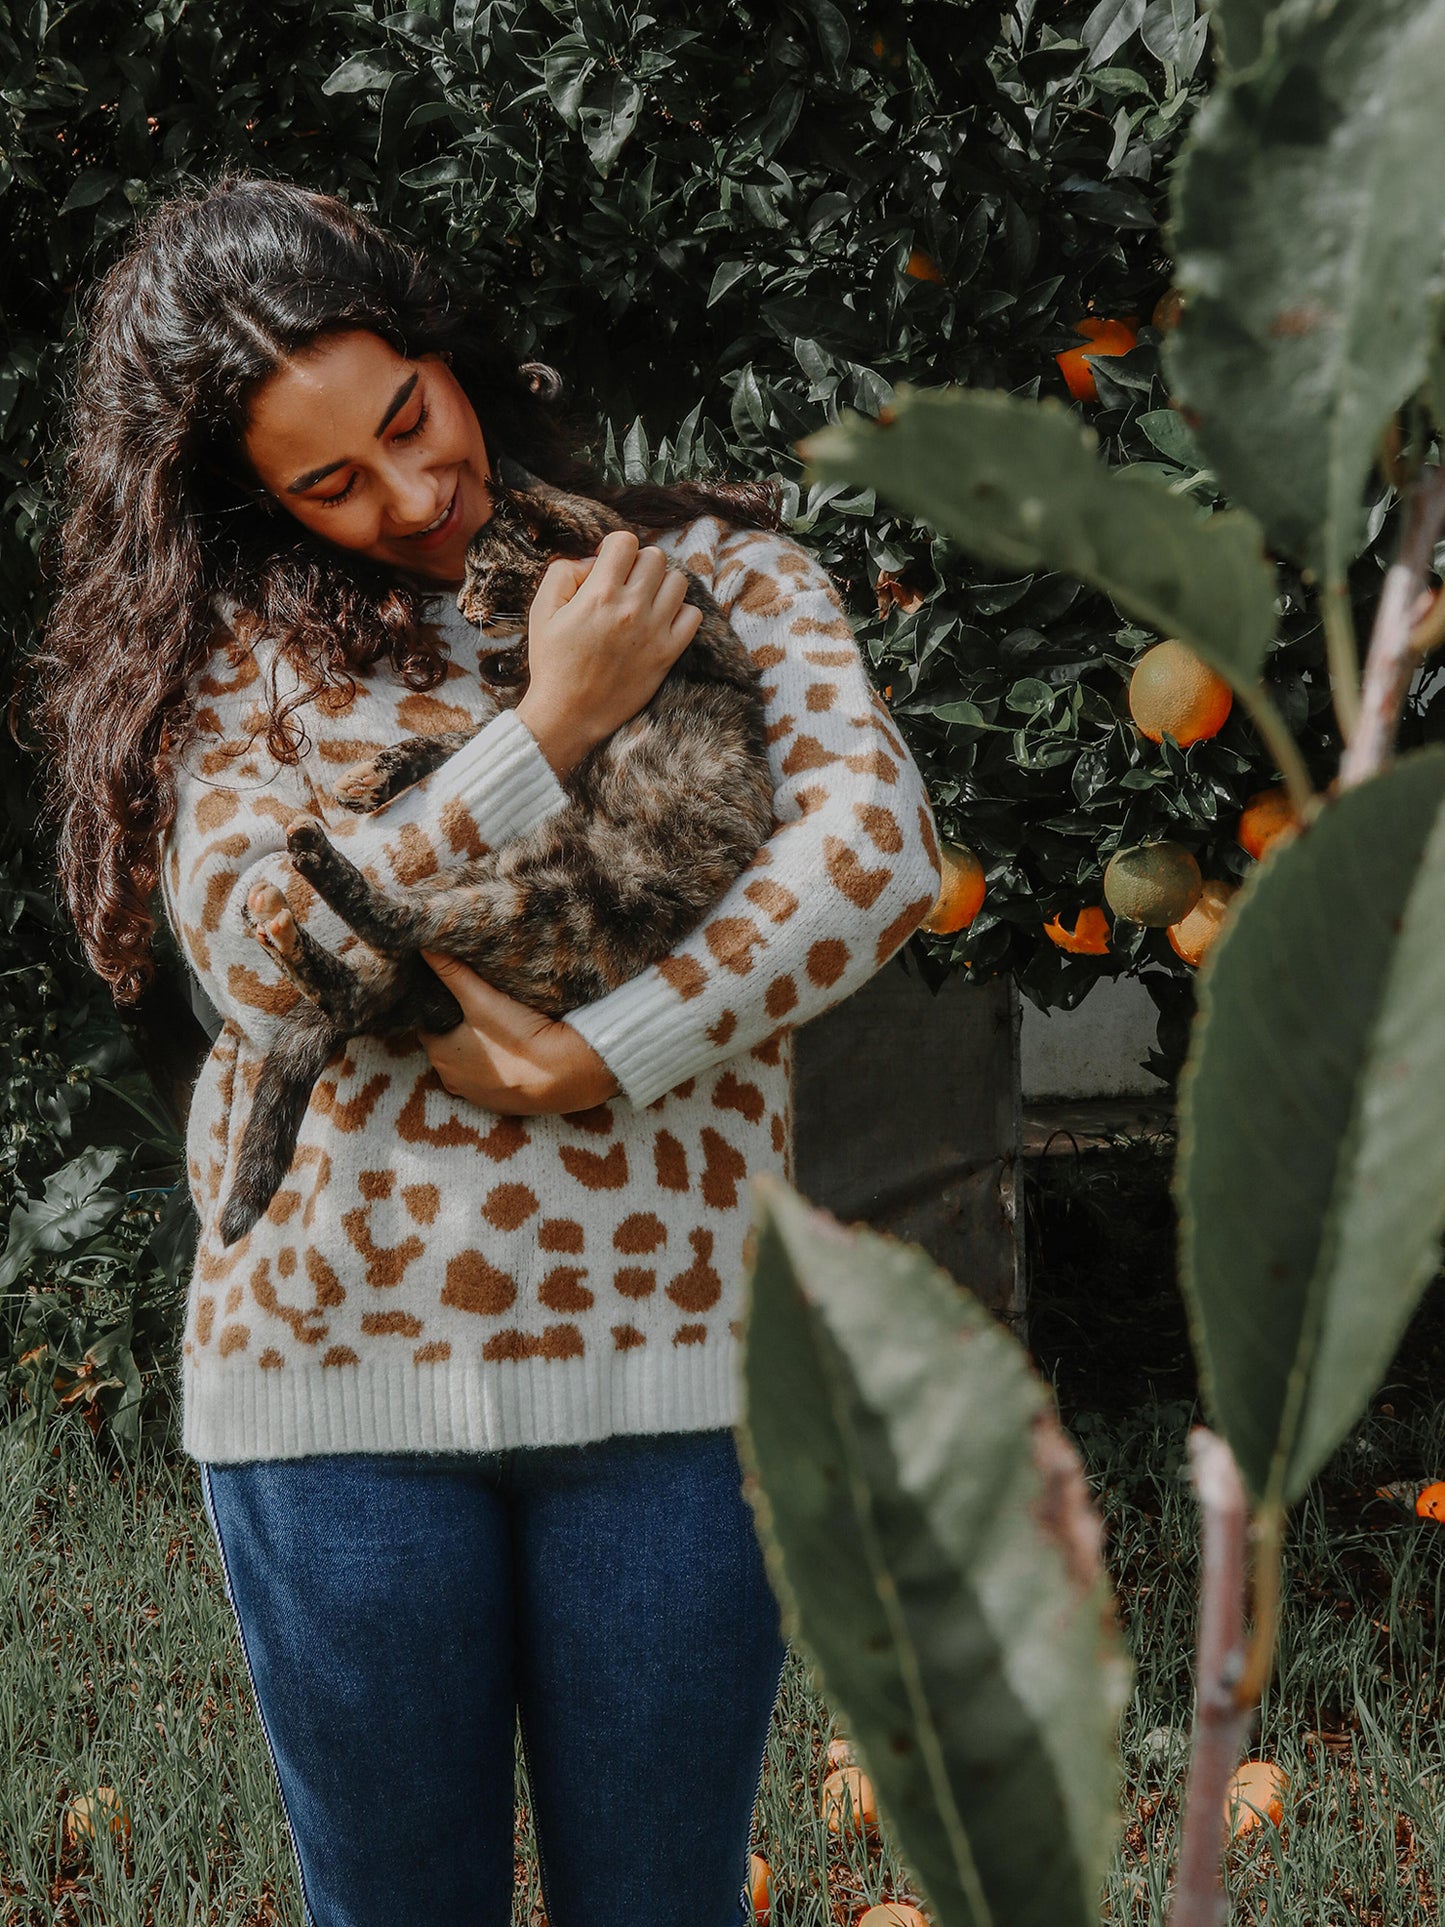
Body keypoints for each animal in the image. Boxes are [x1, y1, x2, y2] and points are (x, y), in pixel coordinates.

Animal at [214, 464, 774, 1248]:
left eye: (485, 573)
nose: (462, 605)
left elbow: (471, 728)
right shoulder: (509, 710)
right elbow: (451, 742)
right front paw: (371, 779)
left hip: (526, 904)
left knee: (390, 935)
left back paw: (303, 869)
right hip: (468, 895)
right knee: (353, 993)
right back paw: (280, 914)